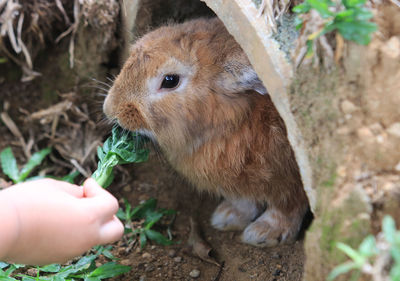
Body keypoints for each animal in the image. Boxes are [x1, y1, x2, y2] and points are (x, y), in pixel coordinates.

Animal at [104, 17, 310, 246]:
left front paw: (263, 233)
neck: (233, 123)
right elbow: (245, 201)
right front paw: (226, 217)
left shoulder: (289, 180)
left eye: (170, 80)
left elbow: (286, 208)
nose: (111, 110)